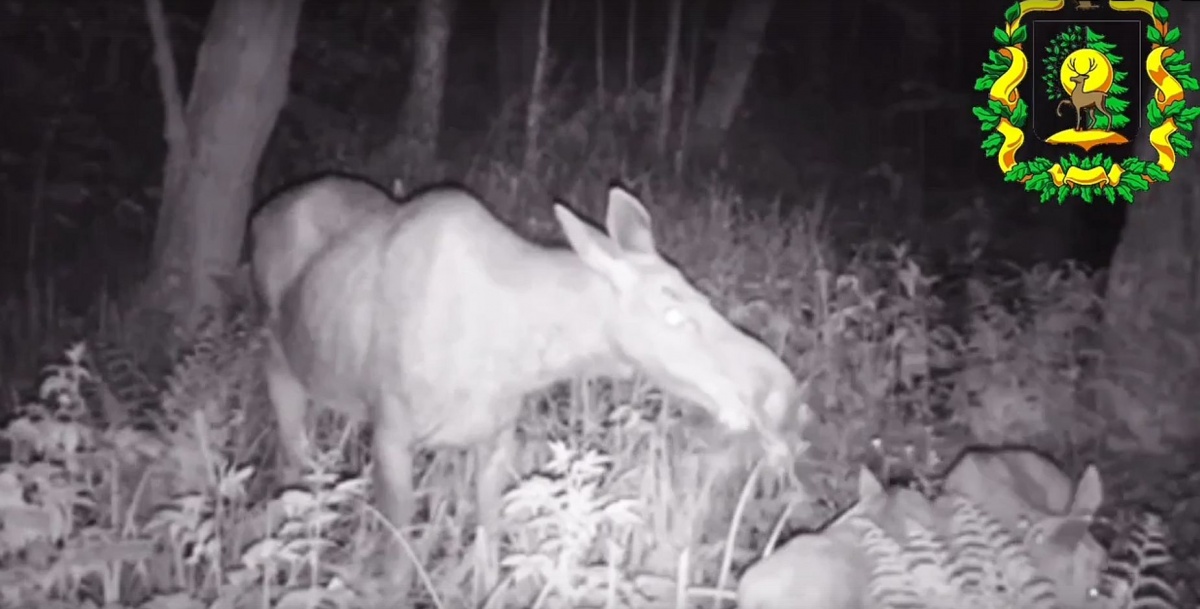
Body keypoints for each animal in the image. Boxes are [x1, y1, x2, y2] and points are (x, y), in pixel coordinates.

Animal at [248, 176, 801, 594]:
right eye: (671, 314)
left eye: (703, 298)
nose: (779, 387)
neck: (520, 355)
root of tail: (261, 213)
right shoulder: (391, 432)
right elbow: (399, 558)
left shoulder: (497, 436)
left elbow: (489, 542)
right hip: (277, 353)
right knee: (291, 454)